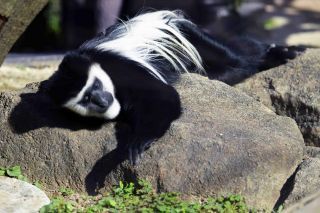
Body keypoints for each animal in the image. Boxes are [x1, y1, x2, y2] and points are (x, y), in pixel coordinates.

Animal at [40, 10, 302, 165]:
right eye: (85, 99)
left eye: (96, 85)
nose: (103, 101)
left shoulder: (121, 69)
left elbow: (162, 97)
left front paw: (138, 143)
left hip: (190, 37)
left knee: (240, 58)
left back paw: (284, 53)